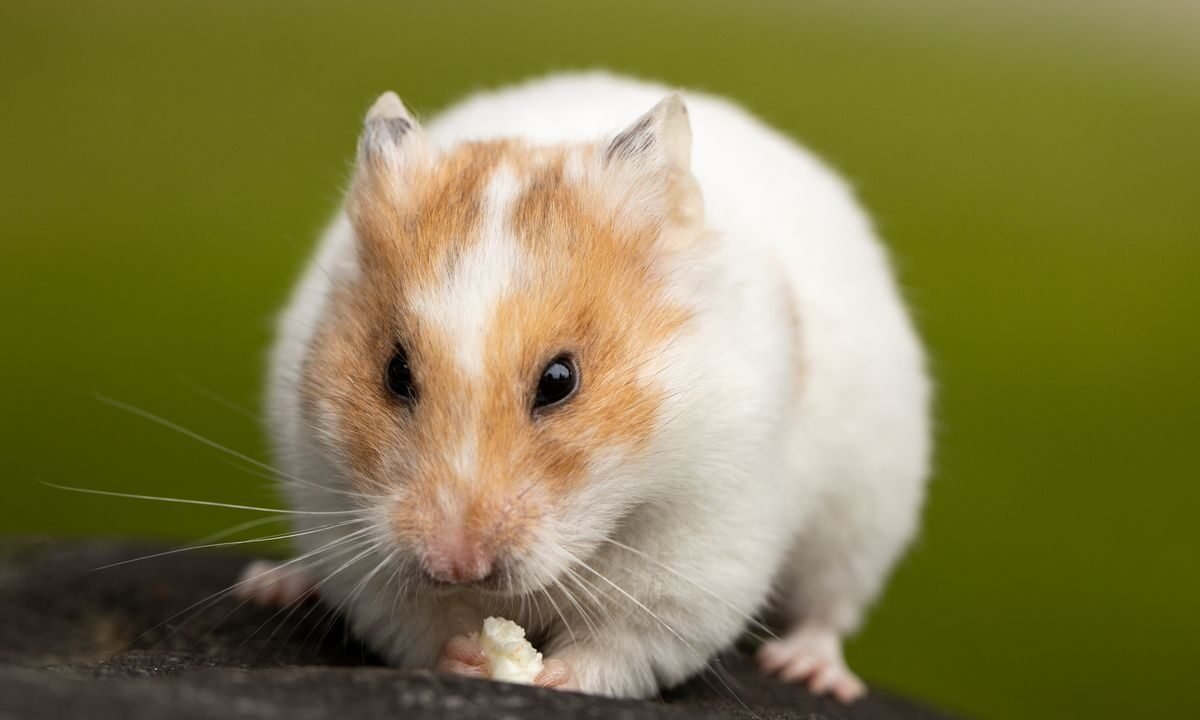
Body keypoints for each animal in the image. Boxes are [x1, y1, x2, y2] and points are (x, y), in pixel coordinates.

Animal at [240, 72, 931, 703]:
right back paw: (273, 584)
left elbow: (621, 646)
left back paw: (810, 671)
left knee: (829, 607)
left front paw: (548, 675)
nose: (457, 566)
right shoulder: (349, 529)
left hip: (867, 514)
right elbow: (415, 623)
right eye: (395, 373)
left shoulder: (695, 558)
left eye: (559, 380)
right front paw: (470, 656)